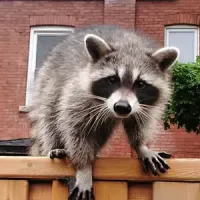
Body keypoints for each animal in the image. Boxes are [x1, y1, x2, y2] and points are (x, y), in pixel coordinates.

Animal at [28, 24, 180, 199]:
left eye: (140, 84)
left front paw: (141, 146)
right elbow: (76, 129)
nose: (122, 107)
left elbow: (139, 122)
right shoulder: (78, 94)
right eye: (112, 79)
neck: (130, 45)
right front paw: (84, 166)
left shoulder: (144, 105)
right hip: (48, 82)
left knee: (100, 131)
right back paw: (55, 145)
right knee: (51, 114)